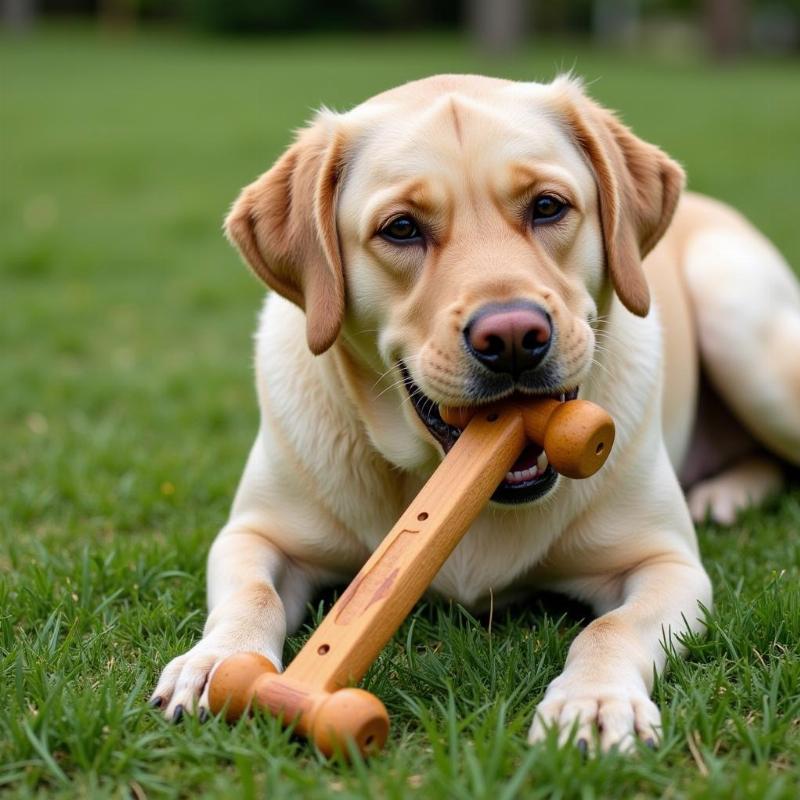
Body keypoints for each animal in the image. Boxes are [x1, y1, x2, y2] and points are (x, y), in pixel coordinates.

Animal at [152, 75, 800, 752]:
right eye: (401, 228)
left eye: (547, 207)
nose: (513, 337)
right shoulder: (253, 534)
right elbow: (253, 596)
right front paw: (215, 662)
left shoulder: (666, 564)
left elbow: (610, 629)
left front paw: (594, 702)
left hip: (743, 327)